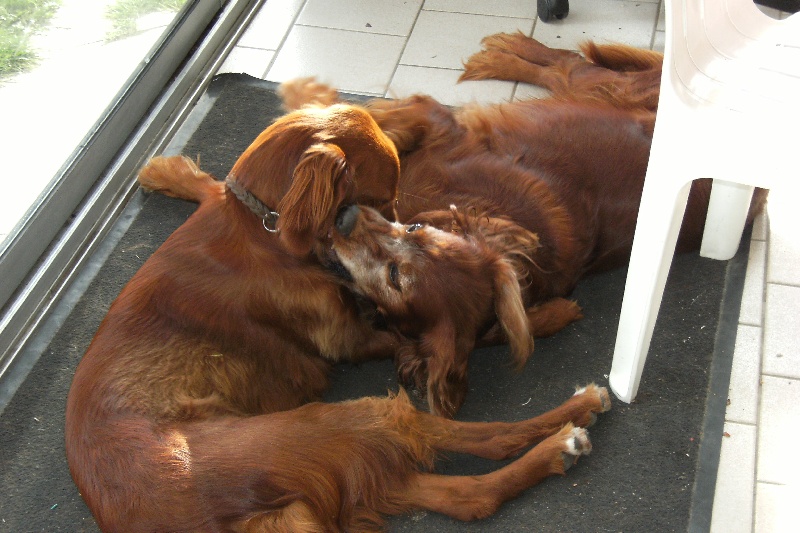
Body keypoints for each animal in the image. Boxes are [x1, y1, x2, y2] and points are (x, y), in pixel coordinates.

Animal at [64, 35, 756, 528]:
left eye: (403, 265)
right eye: (410, 229)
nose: (352, 219)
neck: (258, 228)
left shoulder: (359, 325)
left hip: (330, 435)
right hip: (329, 434)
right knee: (466, 471)